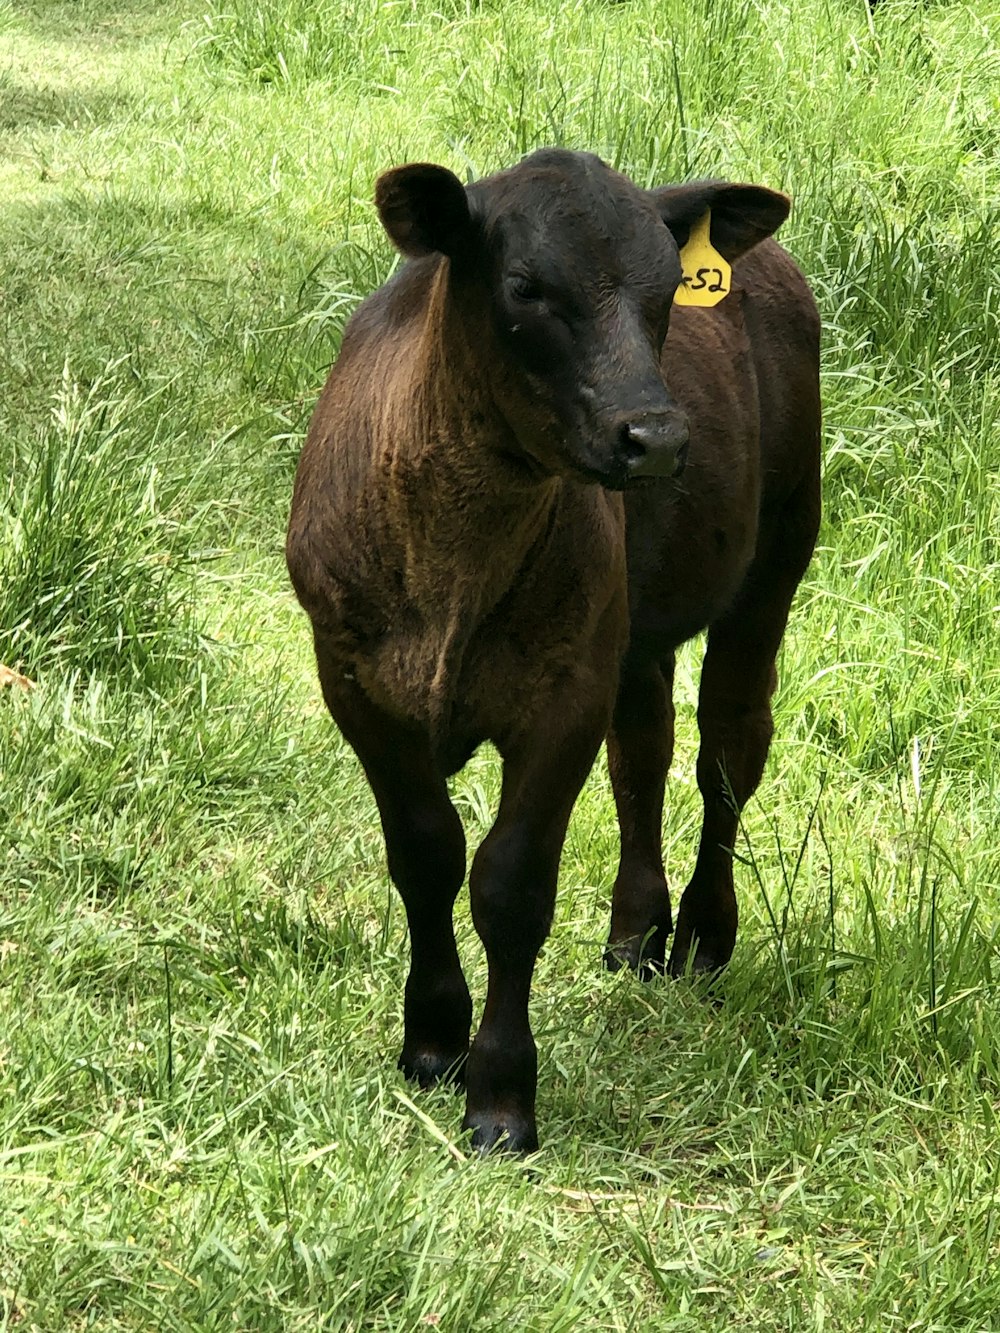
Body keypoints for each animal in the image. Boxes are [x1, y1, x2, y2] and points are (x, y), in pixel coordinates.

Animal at [284, 143, 821, 1146]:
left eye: (667, 291)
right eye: (525, 287)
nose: (657, 438)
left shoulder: (562, 693)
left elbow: (510, 884)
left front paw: (500, 1094)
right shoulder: (356, 683)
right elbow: (425, 855)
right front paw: (431, 1041)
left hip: (774, 560)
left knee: (729, 749)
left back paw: (702, 936)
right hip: (631, 619)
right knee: (643, 749)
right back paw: (634, 933)